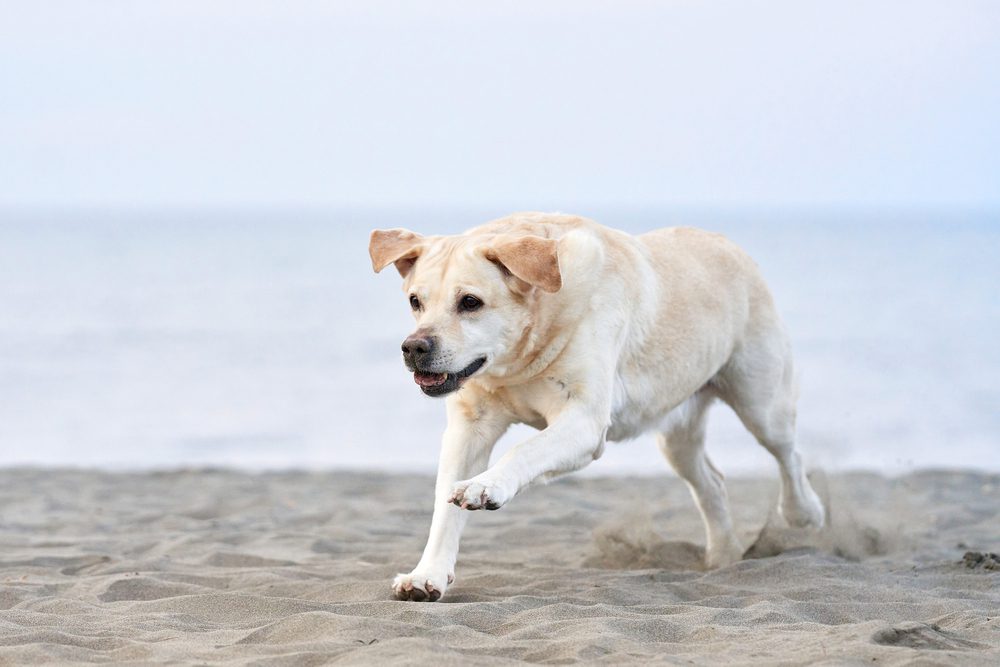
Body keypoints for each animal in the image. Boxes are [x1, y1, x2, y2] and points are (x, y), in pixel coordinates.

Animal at [368, 211, 820, 604]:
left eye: (470, 302)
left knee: (789, 454)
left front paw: (487, 485)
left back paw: (804, 513)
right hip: (677, 436)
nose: (414, 348)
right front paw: (427, 575)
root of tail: (726, 242)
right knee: (712, 483)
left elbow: (524, 450)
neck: (520, 360)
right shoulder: (470, 426)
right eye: (415, 301)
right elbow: (445, 506)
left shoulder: (584, 421)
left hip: (761, 402)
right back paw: (724, 557)